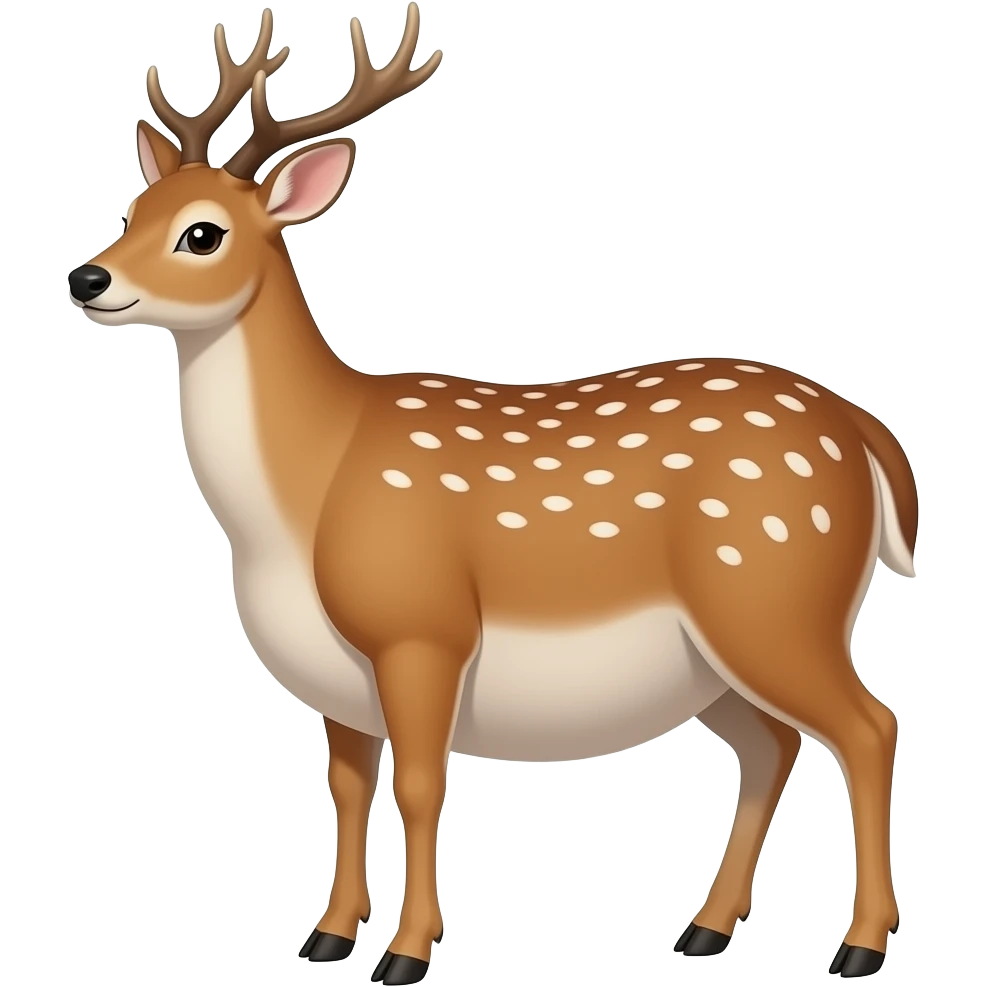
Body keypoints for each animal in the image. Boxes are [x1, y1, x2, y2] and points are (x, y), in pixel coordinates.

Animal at [66, 5, 915, 983]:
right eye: (133, 210)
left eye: (201, 232)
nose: (87, 278)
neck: (300, 500)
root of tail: (863, 431)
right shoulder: (334, 674)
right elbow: (346, 785)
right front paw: (327, 936)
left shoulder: (421, 625)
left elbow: (421, 784)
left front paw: (406, 952)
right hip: (720, 651)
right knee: (772, 744)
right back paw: (704, 929)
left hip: (776, 594)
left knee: (868, 726)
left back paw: (857, 945)